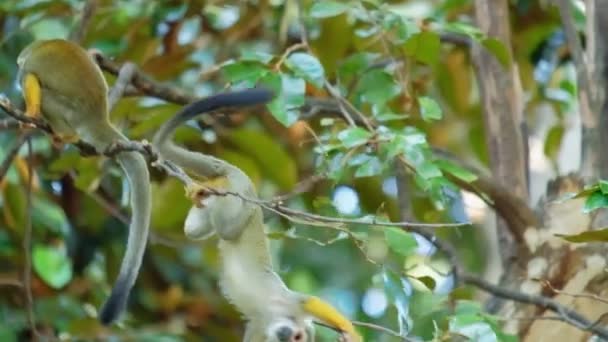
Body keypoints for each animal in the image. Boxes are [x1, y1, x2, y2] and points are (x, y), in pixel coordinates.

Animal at [16, 38, 152, 324]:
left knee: (44, 93)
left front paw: (30, 115)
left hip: (69, 110)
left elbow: (30, 78)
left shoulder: (26, 68)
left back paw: (64, 134)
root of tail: (97, 116)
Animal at [153, 89, 360, 340]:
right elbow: (310, 301)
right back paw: (242, 203)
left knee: (194, 230)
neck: (275, 317)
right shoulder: (289, 303)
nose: (288, 336)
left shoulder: (260, 328)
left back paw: (201, 192)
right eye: (297, 337)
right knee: (229, 228)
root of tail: (235, 174)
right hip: (239, 186)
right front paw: (351, 333)